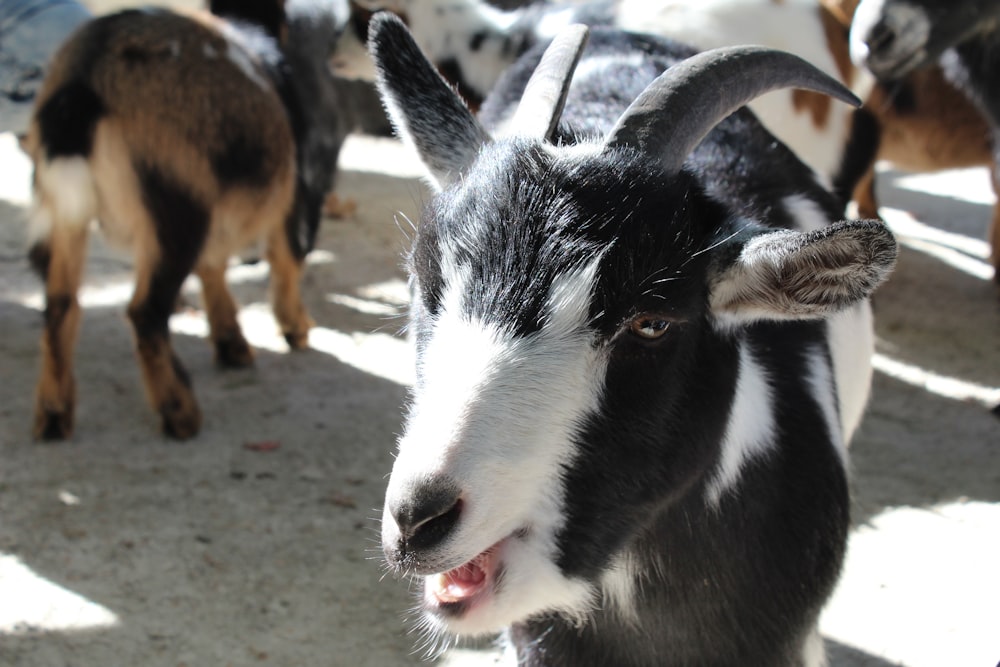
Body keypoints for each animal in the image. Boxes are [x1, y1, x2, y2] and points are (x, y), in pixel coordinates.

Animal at [22, 1, 348, 444]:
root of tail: (83, 81)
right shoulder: (300, 189)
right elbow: (287, 258)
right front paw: (295, 328)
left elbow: (214, 265)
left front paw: (231, 343)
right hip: (176, 204)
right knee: (145, 312)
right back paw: (179, 411)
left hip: (65, 209)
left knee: (60, 305)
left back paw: (54, 414)